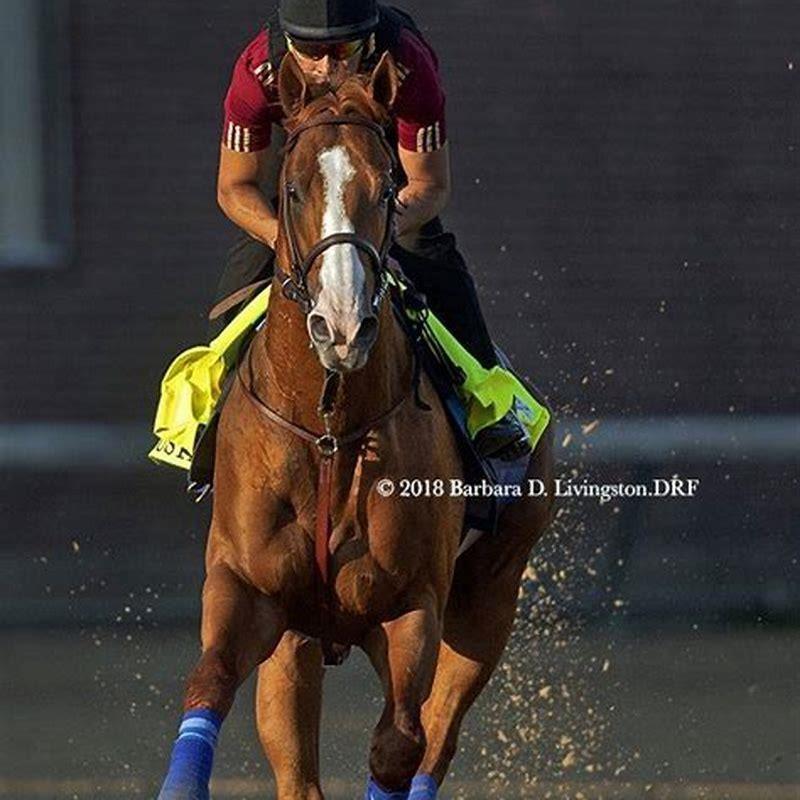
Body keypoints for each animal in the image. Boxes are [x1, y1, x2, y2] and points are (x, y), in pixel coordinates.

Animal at [156, 51, 554, 800]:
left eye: (388, 185)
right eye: (291, 188)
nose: (341, 325)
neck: (331, 430)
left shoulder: (411, 605)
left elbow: (399, 744)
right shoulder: (248, 589)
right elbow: (209, 681)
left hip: (489, 599)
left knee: (435, 736)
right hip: (300, 643)